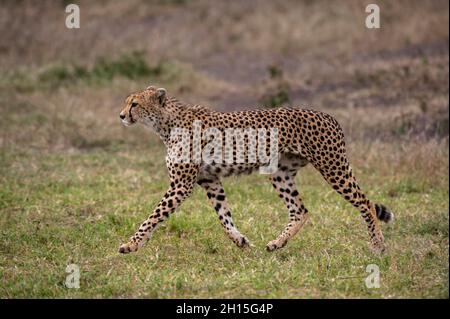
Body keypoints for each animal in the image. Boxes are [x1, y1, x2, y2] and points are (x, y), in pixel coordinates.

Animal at [118, 87, 392, 255]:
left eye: (135, 104)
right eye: (127, 102)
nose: (121, 115)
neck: (166, 123)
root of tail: (329, 116)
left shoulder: (181, 185)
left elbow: (153, 216)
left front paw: (131, 244)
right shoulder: (210, 180)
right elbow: (224, 216)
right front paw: (240, 240)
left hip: (333, 167)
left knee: (366, 202)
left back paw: (378, 245)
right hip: (281, 173)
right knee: (300, 210)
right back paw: (277, 243)